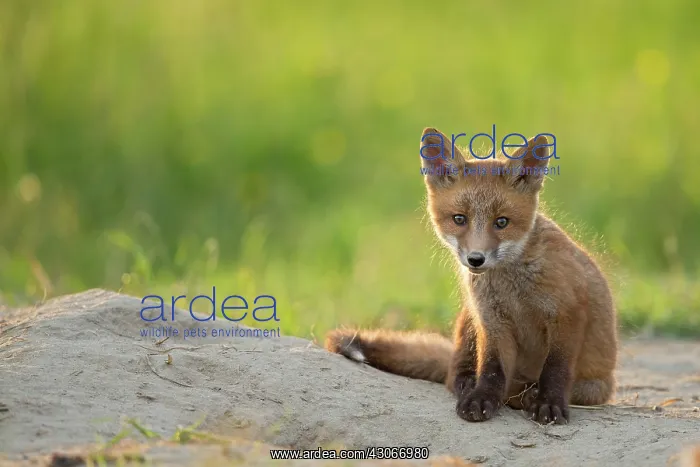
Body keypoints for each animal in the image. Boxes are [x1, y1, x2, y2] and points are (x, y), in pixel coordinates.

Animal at [325, 127, 618, 425]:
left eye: (502, 222)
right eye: (459, 219)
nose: (476, 259)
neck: (514, 289)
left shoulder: (567, 314)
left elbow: (555, 369)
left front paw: (549, 403)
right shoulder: (491, 320)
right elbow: (491, 369)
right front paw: (482, 398)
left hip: (594, 387)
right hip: (469, 317)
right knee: (454, 375)